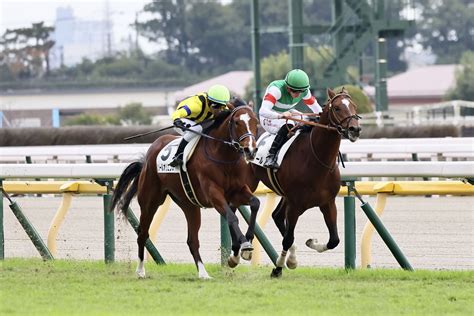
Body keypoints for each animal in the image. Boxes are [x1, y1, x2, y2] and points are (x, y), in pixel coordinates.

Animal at [111, 99, 260, 278]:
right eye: (237, 122)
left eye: (256, 122)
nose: (250, 150)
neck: (223, 156)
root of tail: (146, 159)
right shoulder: (213, 194)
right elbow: (232, 218)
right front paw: (244, 246)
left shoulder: (237, 191)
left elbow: (255, 203)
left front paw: (241, 248)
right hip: (150, 201)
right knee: (143, 233)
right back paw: (140, 271)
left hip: (189, 205)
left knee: (192, 240)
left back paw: (203, 273)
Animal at [254, 88, 362, 276]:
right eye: (337, 108)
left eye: (354, 105)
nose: (354, 129)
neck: (317, 160)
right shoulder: (295, 205)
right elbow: (287, 238)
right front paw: (278, 267)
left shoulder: (327, 202)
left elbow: (334, 240)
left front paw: (310, 244)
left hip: (286, 196)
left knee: (277, 216)